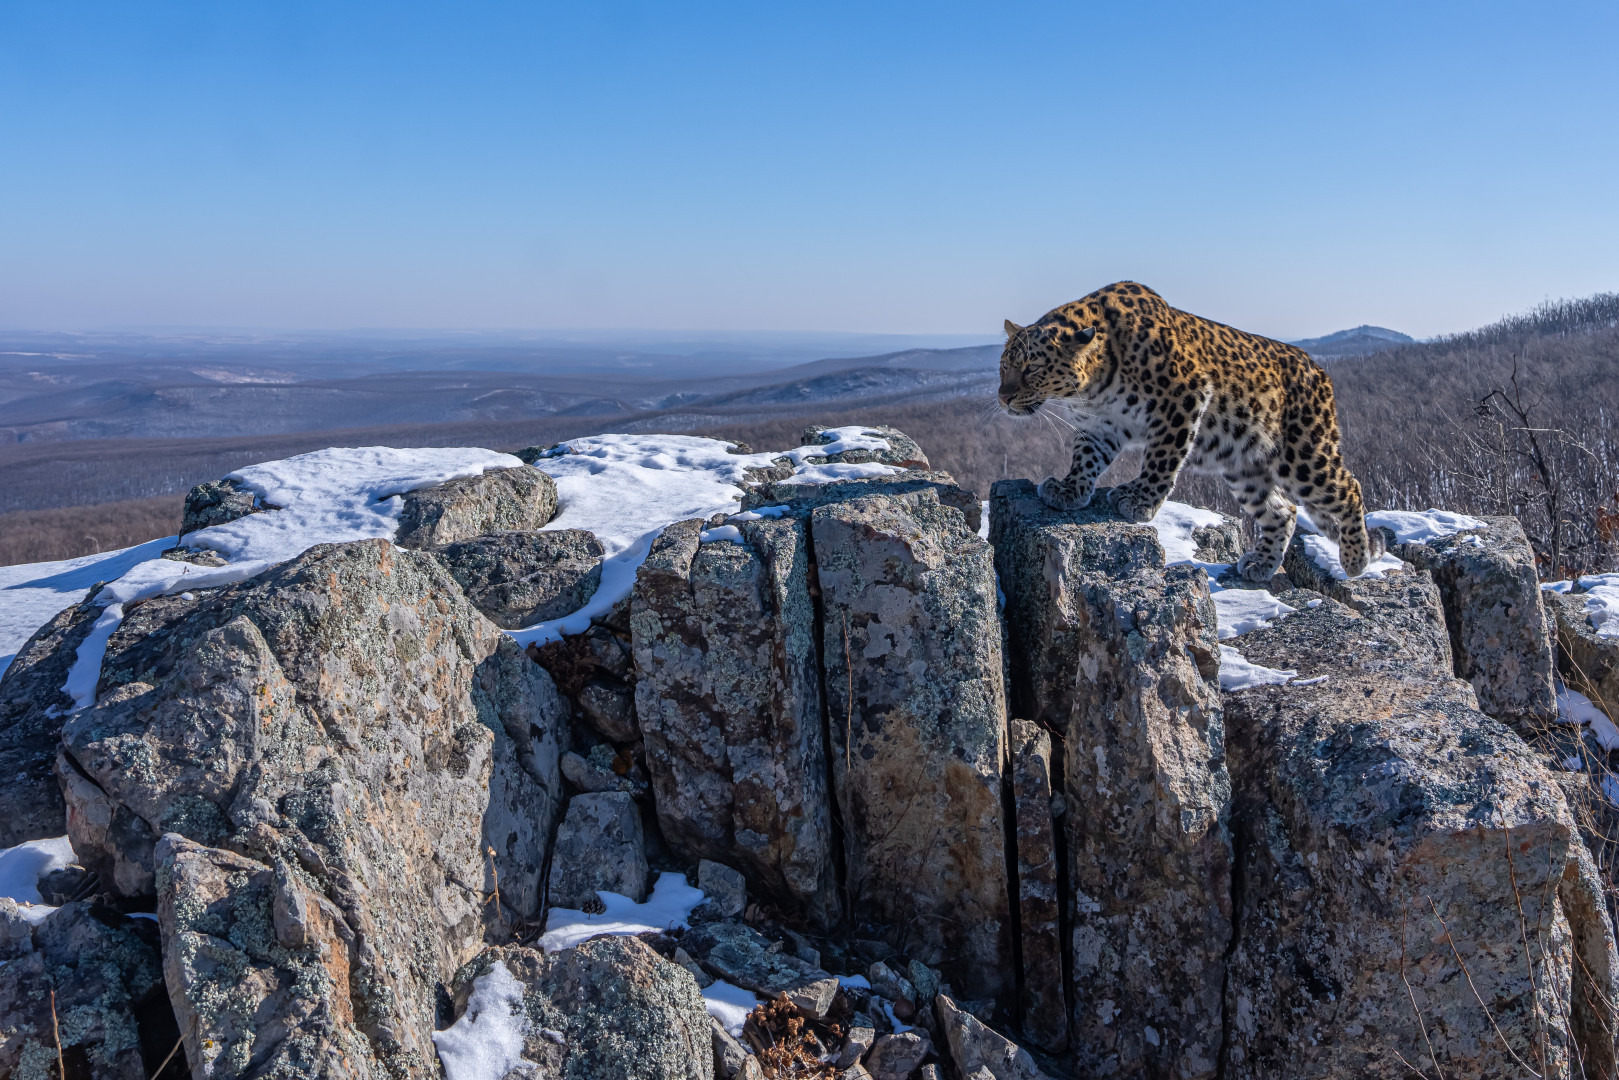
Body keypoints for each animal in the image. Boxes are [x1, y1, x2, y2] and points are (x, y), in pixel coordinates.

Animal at [998, 281, 1380, 582]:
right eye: (1003, 366)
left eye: (1031, 368)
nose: (1003, 397)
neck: (1092, 384)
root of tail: (1320, 371)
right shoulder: (1099, 424)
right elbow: (1085, 460)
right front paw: (1069, 488)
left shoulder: (1184, 396)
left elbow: (1162, 458)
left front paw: (1139, 500)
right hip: (1244, 465)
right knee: (1282, 511)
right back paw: (1261, 563)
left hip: (1303, 455)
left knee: (1349, 488)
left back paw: (1356, 559)